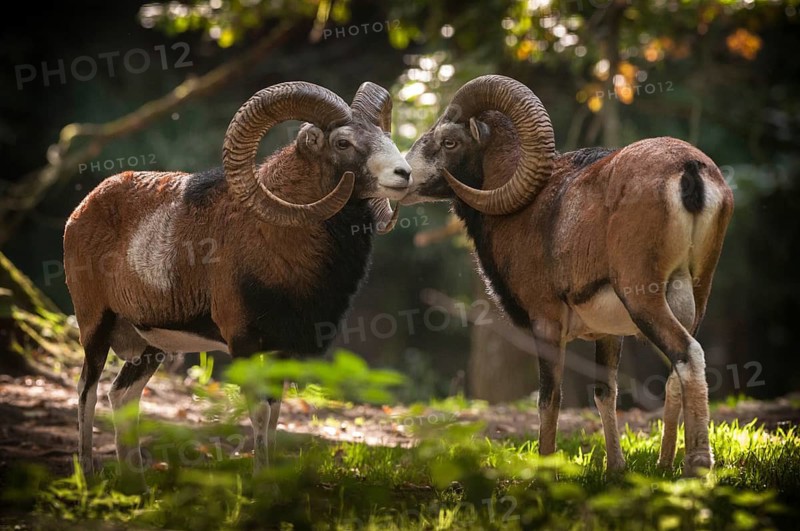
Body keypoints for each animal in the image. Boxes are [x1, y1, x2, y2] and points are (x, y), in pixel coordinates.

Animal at [64, 81, 412, 487]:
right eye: (343, 142)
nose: (404, 174)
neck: (277, 239)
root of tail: (81, 211)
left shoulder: (280, 351)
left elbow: (275, 415)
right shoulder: (244, 344)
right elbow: (259, 413)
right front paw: (260, 484)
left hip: (151, 346)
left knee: (122, 396)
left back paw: (137, 484)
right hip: (96, 327)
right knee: (86, 391)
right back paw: (88, 474)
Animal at [401, 74, 734, 475]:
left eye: (449, 141)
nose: (402, 175)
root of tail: (689, 170)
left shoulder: (546, 322)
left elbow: (549, 399)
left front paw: (544, 469)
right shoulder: (608, 334)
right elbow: (605, 394)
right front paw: (616, 468)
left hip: (644, 299)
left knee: (688, 355)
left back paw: (697, 464)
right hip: (696, 294)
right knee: (675, 373)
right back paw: (665, 464)